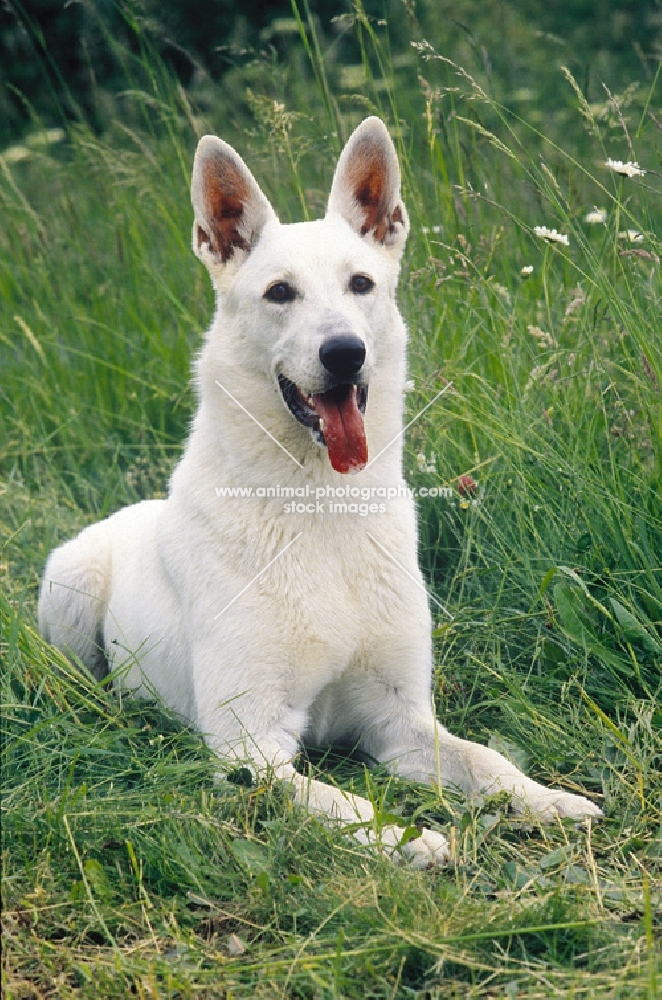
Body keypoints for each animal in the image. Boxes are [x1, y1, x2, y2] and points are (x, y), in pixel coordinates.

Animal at [39, 119, 604, 868]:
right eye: (280, 293)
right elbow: (340, 803)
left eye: (361, 284)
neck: (321, 512)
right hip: (69, 586)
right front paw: (403, 837)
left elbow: (486, 760)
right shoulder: (252, 746)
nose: (344, 354)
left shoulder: (399, 720)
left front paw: (546, 800)